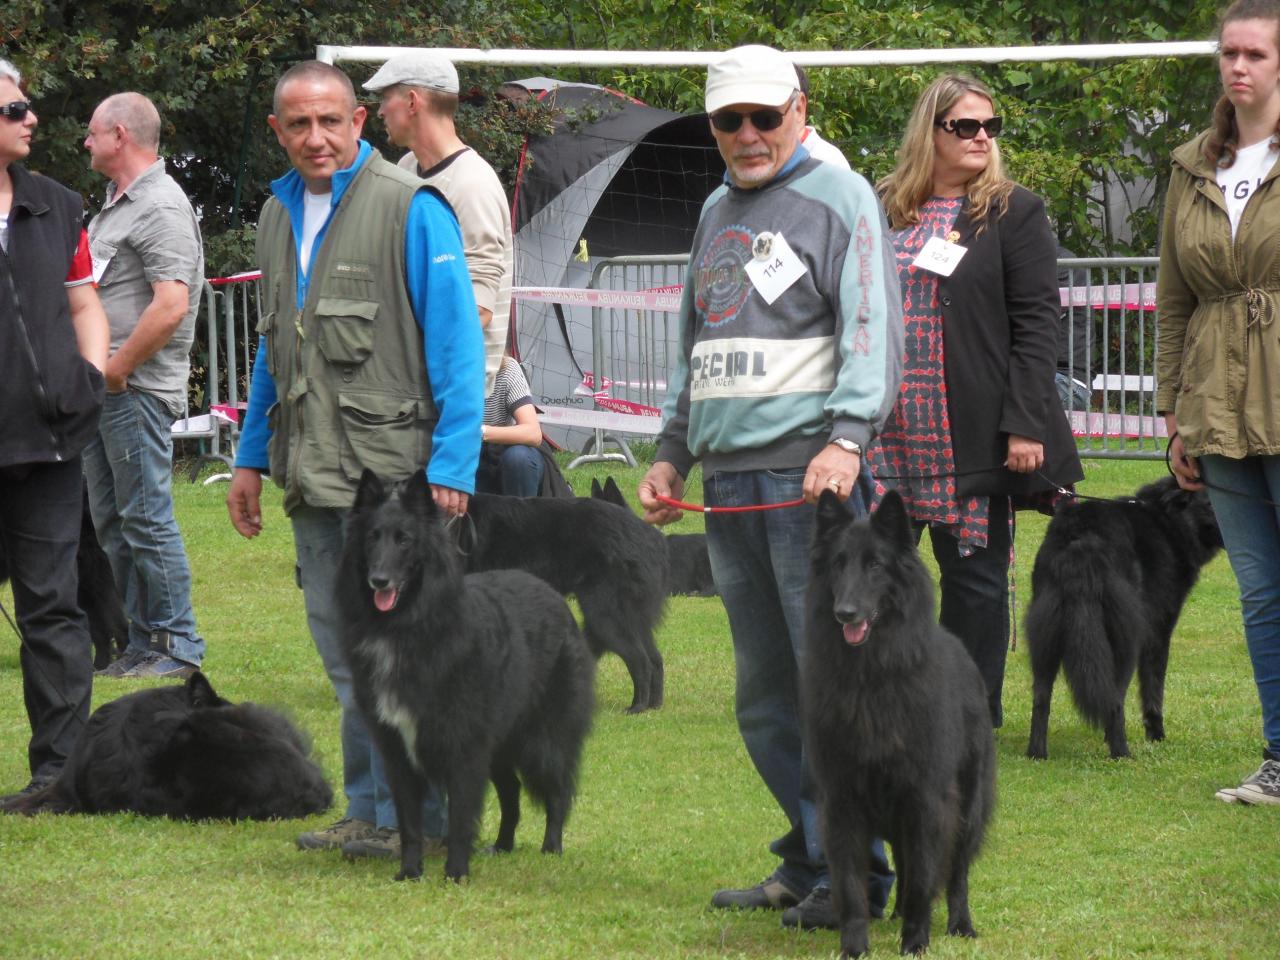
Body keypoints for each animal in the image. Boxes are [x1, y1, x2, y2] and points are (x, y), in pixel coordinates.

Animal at [803, 491, 993, 957]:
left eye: (875, 565)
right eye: (838, 564)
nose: (845, 613)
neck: (869, 679)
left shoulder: (926, 799)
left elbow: (925, 879)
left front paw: (916, 942)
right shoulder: (842, 801)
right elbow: (851, 887)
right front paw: (855, 947)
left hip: (966, 806)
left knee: (956, 874)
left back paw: (960, 923)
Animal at [1024, 478, 1223, 762]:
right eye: (1210, 503)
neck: (1168, 520)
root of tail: (1082, 542)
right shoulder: (1158, 633)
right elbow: (1153, 690)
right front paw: (1157, 737)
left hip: (1045, 639)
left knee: (1041, 699)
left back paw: (1037, 753)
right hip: (1124, 641)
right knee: (1114, 699)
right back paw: (1121, 752)